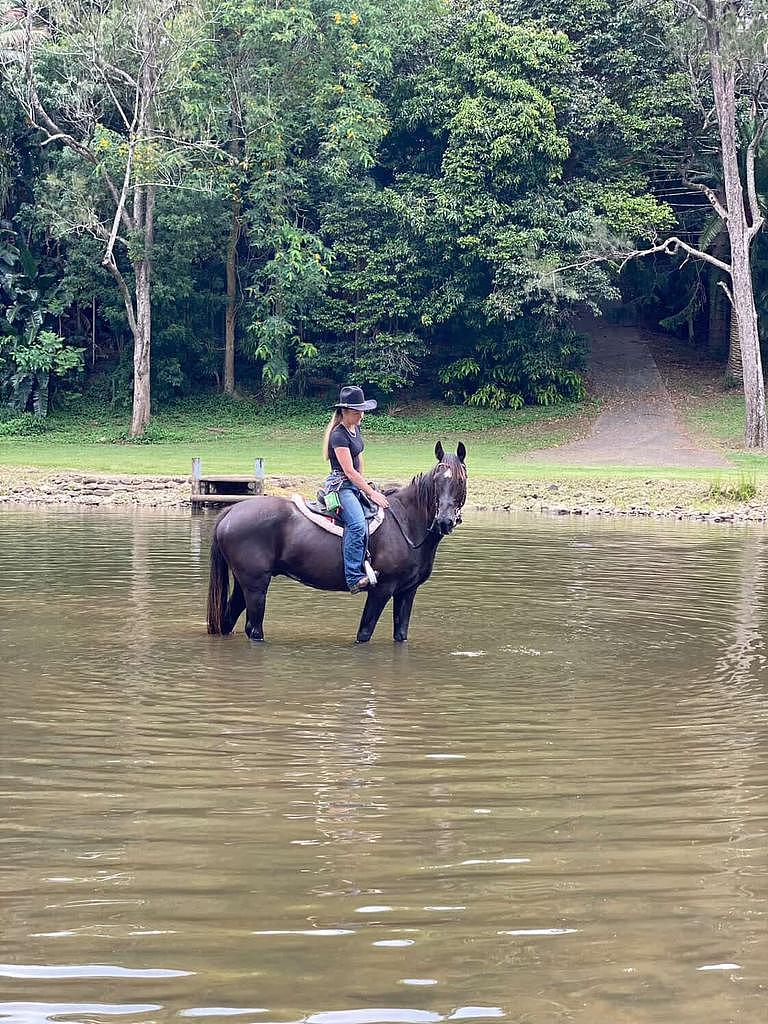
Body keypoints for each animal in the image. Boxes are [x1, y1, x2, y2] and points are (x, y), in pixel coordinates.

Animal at [207, 441, 467, 644]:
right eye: (437, 480)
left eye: (461, 481)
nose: (444, 521)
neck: (406, 521)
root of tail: (231, 511)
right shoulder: (382, 589)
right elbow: (364, 633)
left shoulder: (407, 591)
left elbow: (400, 634)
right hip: (256, 585)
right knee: (254, 629)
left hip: (245, 583)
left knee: (229, 620)